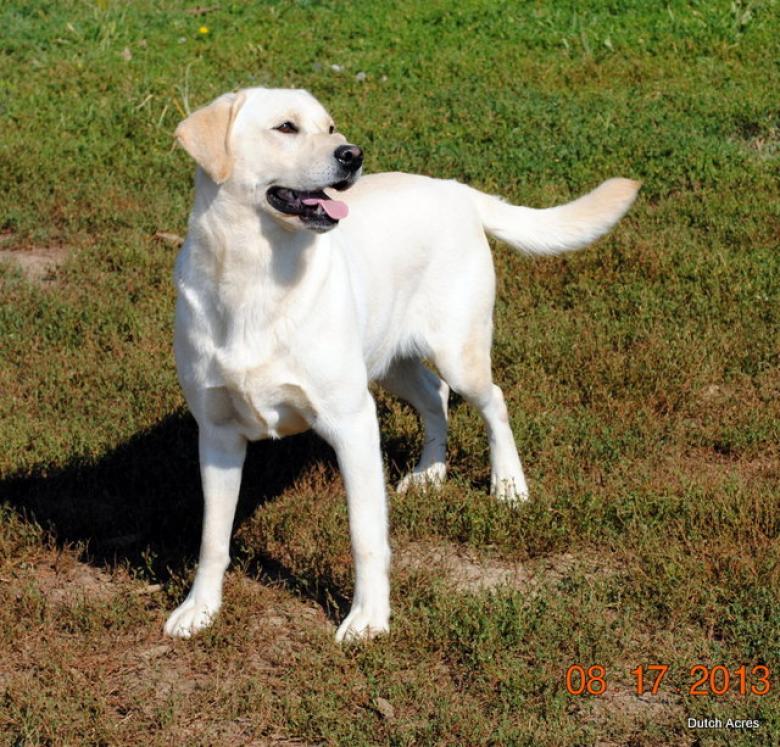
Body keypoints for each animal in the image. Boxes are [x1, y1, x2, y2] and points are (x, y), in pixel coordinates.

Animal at [166, 84, 640, 640]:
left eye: (330, 127)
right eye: (285, 127)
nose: (353, 154)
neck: (254, 276)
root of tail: (456, 189)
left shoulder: (351, 422)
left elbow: (365, 534)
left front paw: (368, 619)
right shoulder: (217, 434)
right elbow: (212, 540)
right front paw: (200, 609)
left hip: (459, 353)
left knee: (492, 401)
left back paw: (508, 485)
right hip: (390, 362)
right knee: (435, 398)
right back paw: (430, 473)